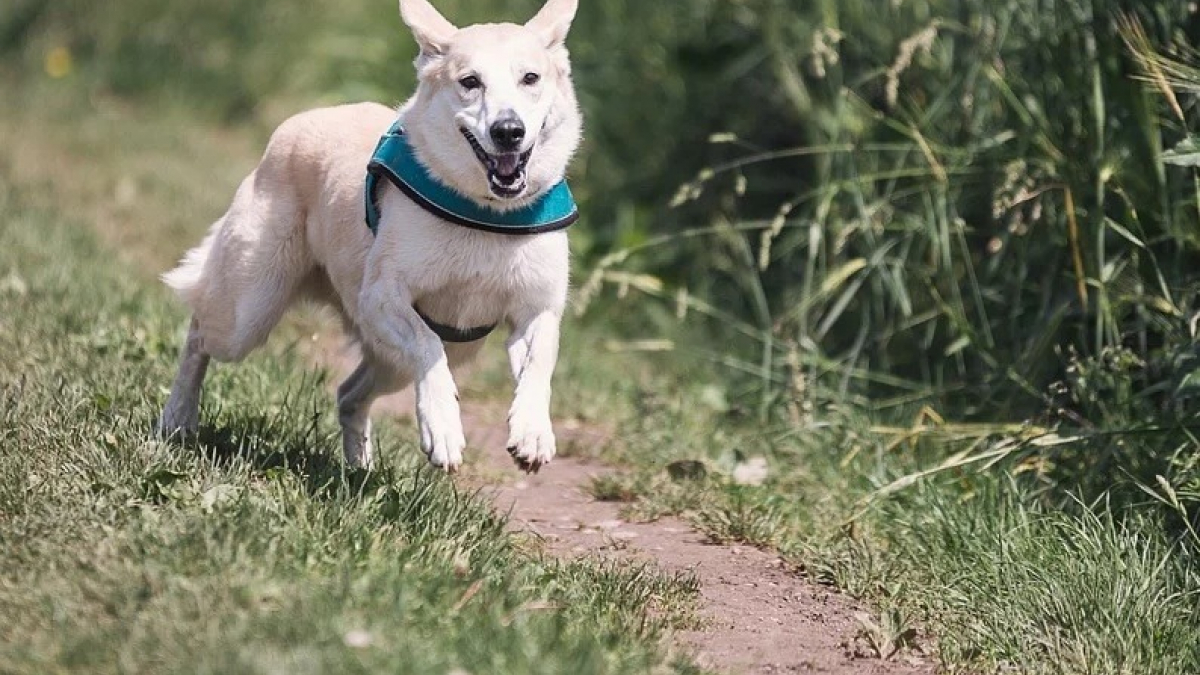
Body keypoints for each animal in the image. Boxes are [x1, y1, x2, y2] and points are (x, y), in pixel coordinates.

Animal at [158, 0, 580, 473]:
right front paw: (444, 429)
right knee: (199, 333)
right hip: (247, 310)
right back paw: (177, 419)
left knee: (349, 394)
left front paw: (532, 433)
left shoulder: (536, 309)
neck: (487, 213)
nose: (508, 131)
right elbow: (427, 346)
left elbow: (539, 362)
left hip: (392, 360)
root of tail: (301, 121)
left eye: (531, 78)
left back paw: (359, 468)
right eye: (470, 82)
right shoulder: (381, 297)